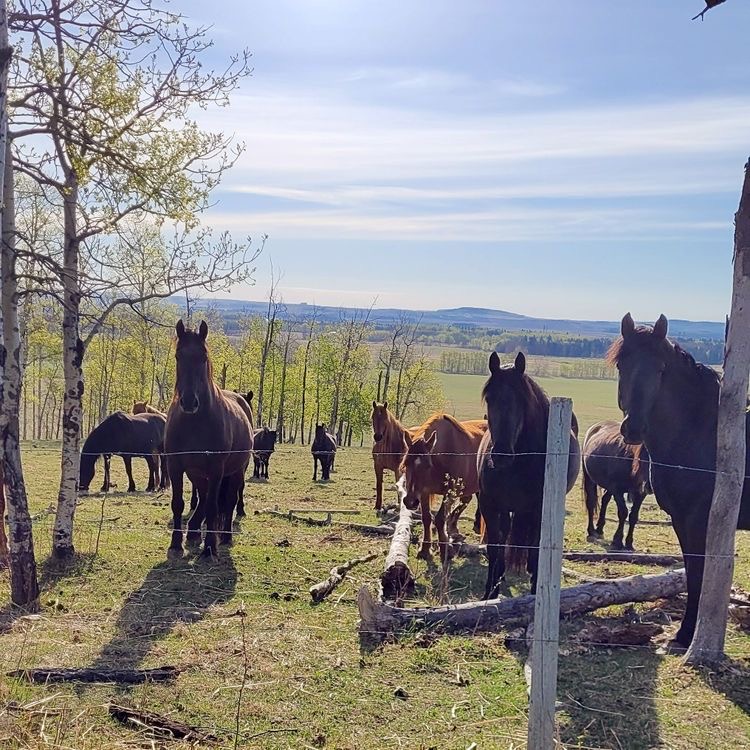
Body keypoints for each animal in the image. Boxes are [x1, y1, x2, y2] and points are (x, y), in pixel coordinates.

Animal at [166, 320, 254, 560]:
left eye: (203, 357)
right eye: (178, 356)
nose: (189, 402)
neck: (195, 423)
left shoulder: (216, 469)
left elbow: (215, 507)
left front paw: (209, 547)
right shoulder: (175, 466)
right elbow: (178, 504)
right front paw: (175, 544)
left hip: (235, 471)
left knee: (228, 501)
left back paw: (224, 536)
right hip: (197, 473)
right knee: (204, 499)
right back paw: (194, 531)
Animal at [396, 412, 490, 564]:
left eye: (427, 465)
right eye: (405, 464)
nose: (410, 502)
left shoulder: (450, 493)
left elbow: (440, 519)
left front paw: (445, 550)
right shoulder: (424, 492)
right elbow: (426, 518)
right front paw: (425, 549)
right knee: (466, 501)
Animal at [478, 352, 584, 600]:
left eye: (521, 400)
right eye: (490, 399)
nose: (501, 454)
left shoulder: (538, 509)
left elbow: (537, 550)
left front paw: (536, 591)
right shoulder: (490, 505)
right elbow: (494, 547)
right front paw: (490, 592)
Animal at [580, 420, 652, 548]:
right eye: (646, 455)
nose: (650, 485)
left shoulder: (640, 493)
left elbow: (633, 516)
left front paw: (629, 543)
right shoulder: (617, 490)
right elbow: (623, 512)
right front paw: (617, 540)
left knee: (604, 499)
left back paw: (599, 529)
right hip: (589, 479)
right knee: (591, 502)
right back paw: (591, 531)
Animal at [612, 314, 750, 648]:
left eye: (661, 368)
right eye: (622, 365)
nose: (634, 429)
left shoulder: (699, 520)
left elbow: (699, 573)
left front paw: (686, 634)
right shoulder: (679, 519)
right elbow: (690, 570)